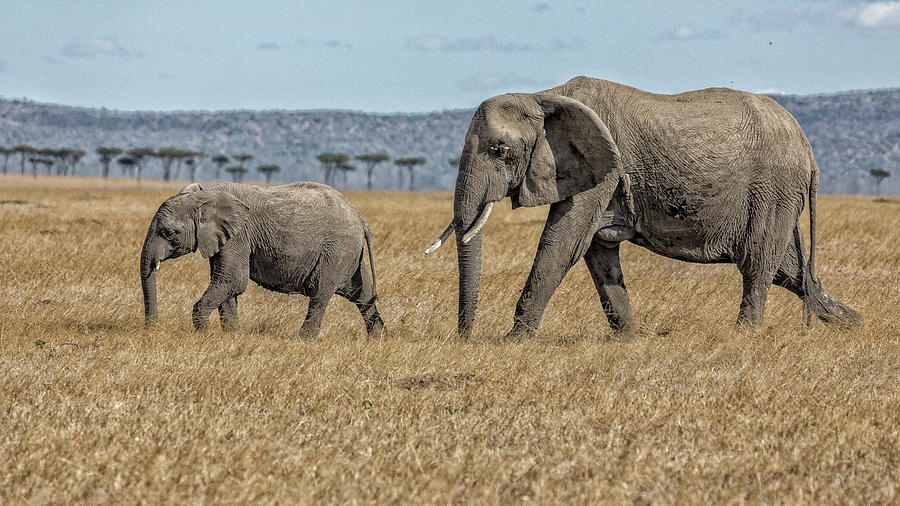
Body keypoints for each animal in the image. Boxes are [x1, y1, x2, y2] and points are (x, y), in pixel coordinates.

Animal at [140, 182, 384, 340]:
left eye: (169, 233)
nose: (151, 330)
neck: (207, 195)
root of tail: (360, 217)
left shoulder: (239, 236)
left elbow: (233, 281)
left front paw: (205, 335)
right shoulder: (223, 239)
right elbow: (226, 284)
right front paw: (231, 337)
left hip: (336, 250)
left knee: (320, 294)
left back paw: (301, 340)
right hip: (349, 254)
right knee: (362, 294)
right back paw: (378, 339)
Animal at [426, 76, 860, 340]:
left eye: (500, 150)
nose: (466, 338)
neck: (543, 95)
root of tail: (808, 148)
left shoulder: (601, 168)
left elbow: (562, 243)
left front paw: (513, 342)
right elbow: (597, 253)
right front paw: (629, 340)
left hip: (773, 189)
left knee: (758, 263)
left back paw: (744, 337)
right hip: (779, 196)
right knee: (791, 271)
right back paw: (854, 324)